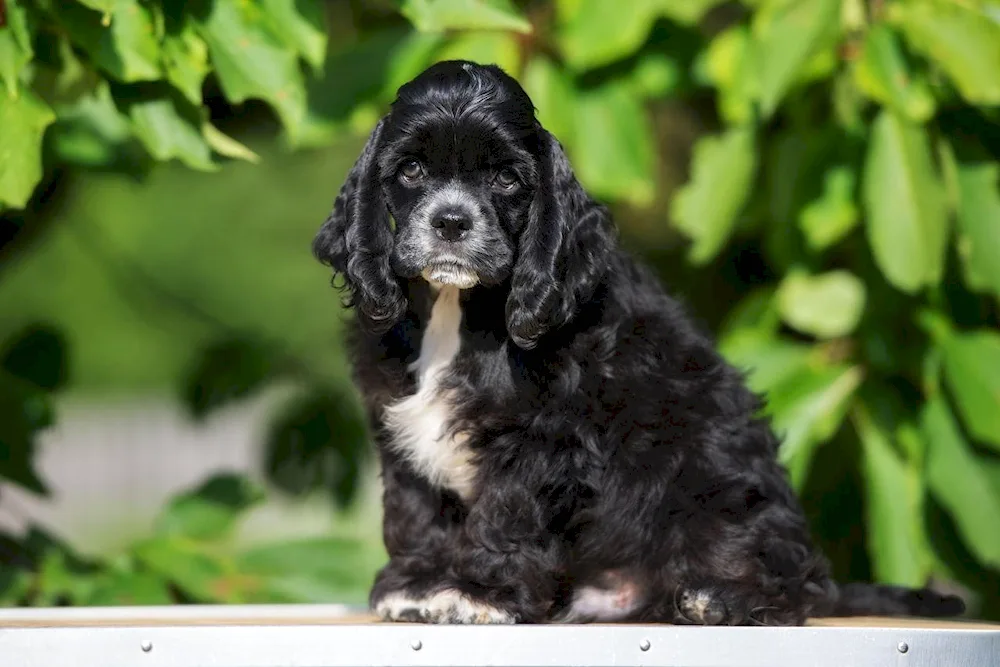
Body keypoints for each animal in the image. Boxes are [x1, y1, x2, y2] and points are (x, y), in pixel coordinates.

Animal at [310, 58, 960, 628]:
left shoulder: (541, 435)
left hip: (717, 476)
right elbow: (416, 508)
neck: (456, 308)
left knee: (798, 582)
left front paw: (480, 594)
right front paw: (417, 584)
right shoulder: (401, 429)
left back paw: (720, 598)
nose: (450, 223)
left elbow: (507, 512)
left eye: (506, 179)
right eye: (412, 170)